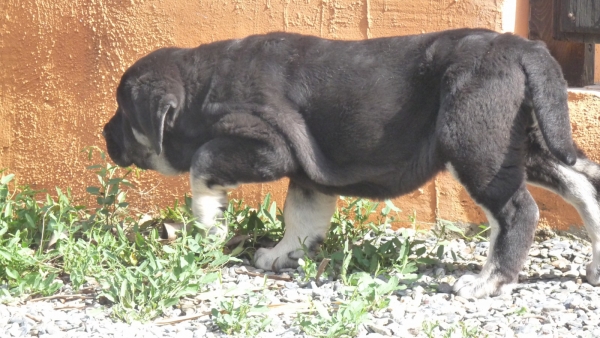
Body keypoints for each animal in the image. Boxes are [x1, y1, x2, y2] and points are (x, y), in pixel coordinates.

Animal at [103, 29, 600, 298]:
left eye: (124, 114)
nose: (105, 136)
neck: (200, 91)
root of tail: (522, 47)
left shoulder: (269, 145)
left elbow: (202, 161)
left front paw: (209, 220)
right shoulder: (306, 171)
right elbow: (302, 217)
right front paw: (282, 254)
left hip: (473, 143)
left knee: (518, 210)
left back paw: (488, 281)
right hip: (523, 141)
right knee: (581, 180)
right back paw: (594, 263)